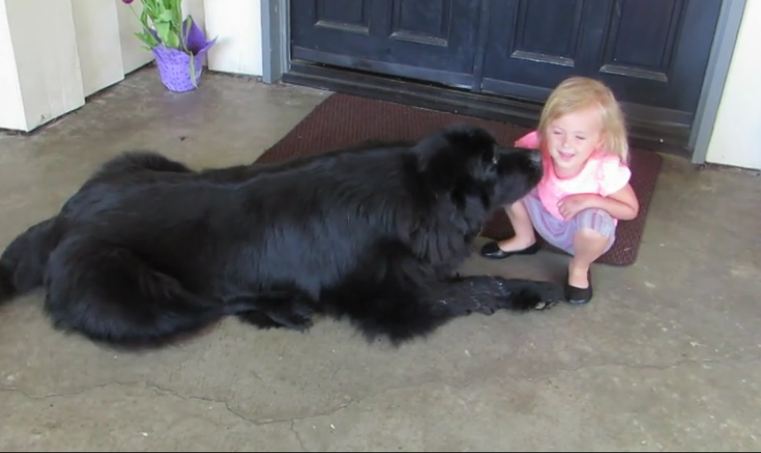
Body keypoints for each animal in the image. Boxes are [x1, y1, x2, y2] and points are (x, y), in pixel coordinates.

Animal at [0, 125, 560, 344]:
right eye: (491, 163)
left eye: (497, 149)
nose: (538, 157)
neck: (414, 196)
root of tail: (64, 219)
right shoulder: (390, 299)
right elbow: (471, 287)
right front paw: (535, 291)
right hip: (134, 295)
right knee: (206, 303)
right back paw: (281, 306)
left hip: (149, 161)